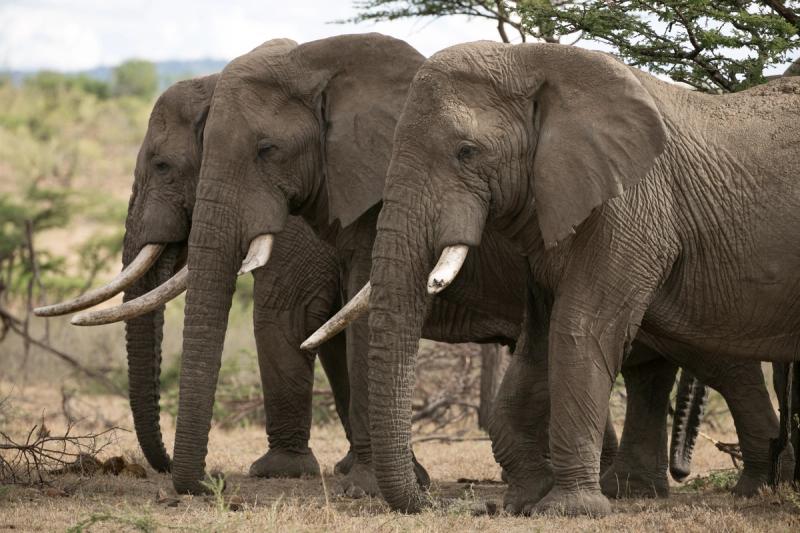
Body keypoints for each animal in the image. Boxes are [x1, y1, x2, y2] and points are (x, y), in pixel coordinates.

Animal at [353, 41, 800, 516]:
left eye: (467, 152)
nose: (435, 503)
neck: (535, 59)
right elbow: (538, 346)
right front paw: (525, 498)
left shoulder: (633, 205)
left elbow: (579, 328)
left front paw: (567, 509)